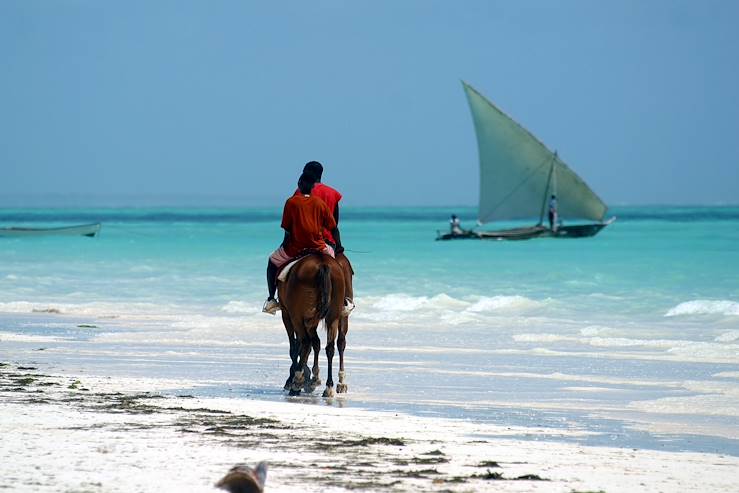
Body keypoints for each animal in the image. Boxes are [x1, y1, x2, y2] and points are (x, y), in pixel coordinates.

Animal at [278, 254, 346, 396]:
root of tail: (322, 263)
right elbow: (315, 344)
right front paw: (311, 378)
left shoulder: (287, 314)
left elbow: (295, 347)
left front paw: (295, 378)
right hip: (333, 316)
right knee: (330, 347)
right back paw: (329, 386)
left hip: (297, 316)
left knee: (305, 342)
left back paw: (297, 382)